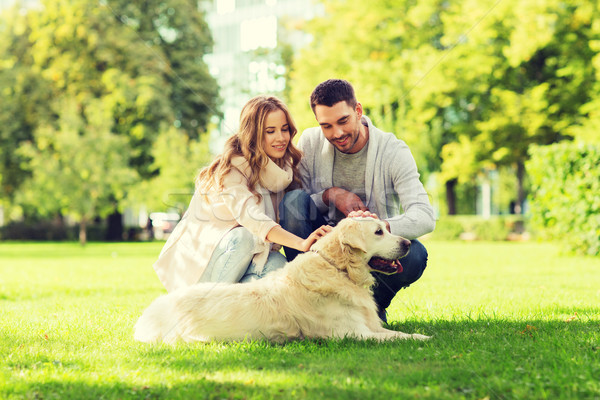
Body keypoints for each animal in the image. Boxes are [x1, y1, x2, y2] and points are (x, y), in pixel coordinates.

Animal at [134, 217, 428, 342]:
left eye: (386, 228)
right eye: (379, 232)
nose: (407, 244)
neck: (338, 269)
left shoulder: (368, 326)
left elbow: (395, 332)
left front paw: (420, 334)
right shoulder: (352, 333)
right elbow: (396, 338)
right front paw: (422, 339)